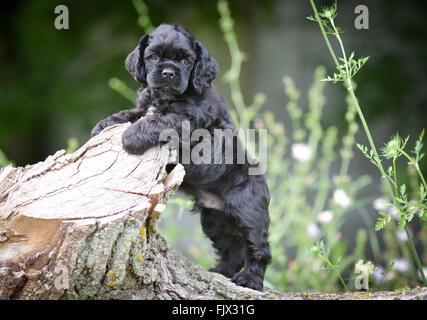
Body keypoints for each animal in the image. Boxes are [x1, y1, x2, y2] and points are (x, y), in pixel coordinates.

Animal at [92, 23, 272, 292]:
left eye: (187, 60)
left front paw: (131, 137)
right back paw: (222, 272)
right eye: (153, 57)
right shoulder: (144, 106)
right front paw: (103, 125)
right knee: (232, 248)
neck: (165, 96)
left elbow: (157, 120)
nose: (167, 73)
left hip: (249, 213)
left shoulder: (185, 120)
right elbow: (131, 113)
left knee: (259, 249)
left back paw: (250, 280)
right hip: (215, 220)